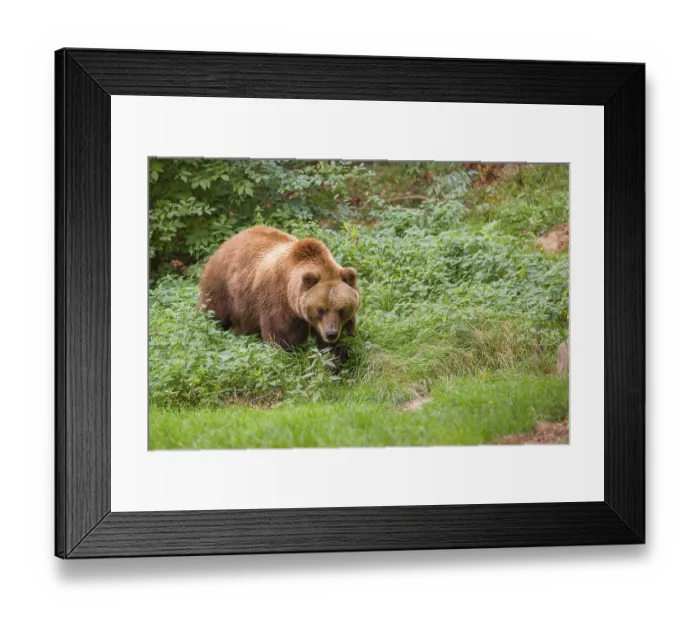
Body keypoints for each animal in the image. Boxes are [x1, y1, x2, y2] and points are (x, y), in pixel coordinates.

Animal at [198, 226, 361, 352]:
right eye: (320, 309)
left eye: (341, 309)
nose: (331, 333)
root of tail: (226, 242)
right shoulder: (277, 301)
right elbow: (281, 336)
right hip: (222, 288)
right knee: (213, 313)